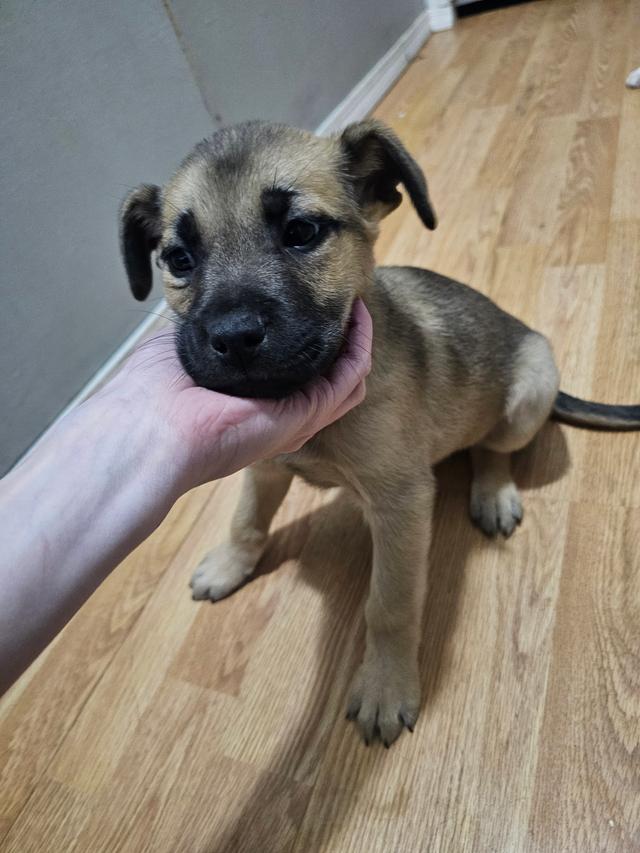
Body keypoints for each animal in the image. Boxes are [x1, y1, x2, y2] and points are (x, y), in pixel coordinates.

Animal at [120, 120, 640, 744]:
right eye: (178, 257)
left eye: (301, 232)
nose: (233, 336)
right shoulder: (264, 464)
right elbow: (247, 520)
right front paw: (229, 564)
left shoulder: (401, 505)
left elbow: (389, 606)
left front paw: (387, 684)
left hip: (530, 389)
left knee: (492, 448)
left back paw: (492, 492)